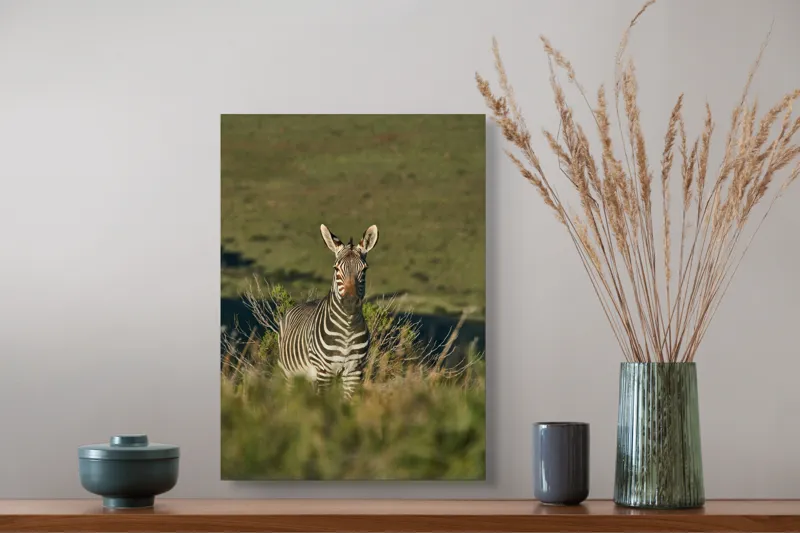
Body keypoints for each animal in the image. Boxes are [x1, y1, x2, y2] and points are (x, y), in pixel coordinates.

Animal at [277, 223, 379, 399]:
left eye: (364, 269)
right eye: (336, 268)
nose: (350, 303)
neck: (347, 329)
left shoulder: (354, 371)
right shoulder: (325, 371)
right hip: (289, 373)